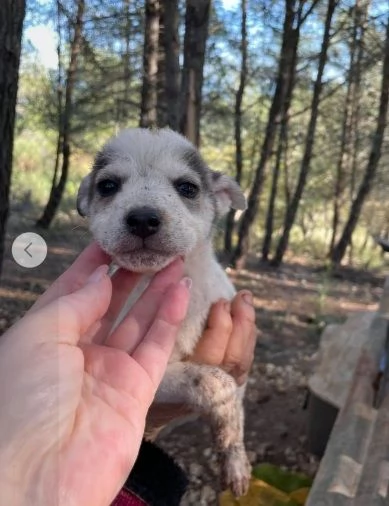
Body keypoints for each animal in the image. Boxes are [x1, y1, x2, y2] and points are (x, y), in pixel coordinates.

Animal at [77, 128, 250, 496]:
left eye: (188, 188)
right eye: (108, 186)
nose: (143, 218)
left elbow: (235, 413)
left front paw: (235, 461)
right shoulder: (151, 377)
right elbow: (211, 381)